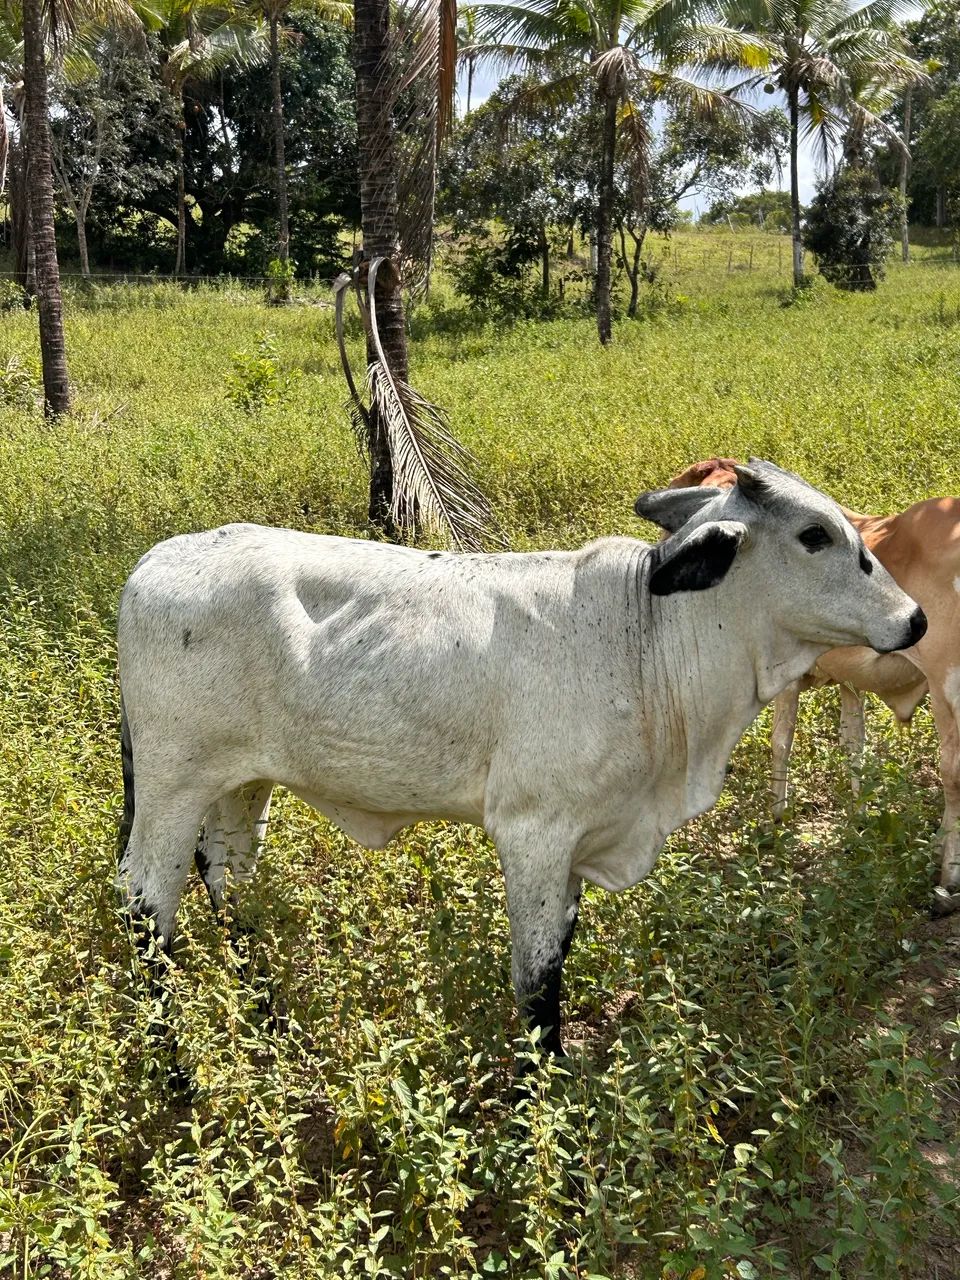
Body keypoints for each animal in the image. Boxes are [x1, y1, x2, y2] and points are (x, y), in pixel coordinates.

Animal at [116, 459, 925, 1054]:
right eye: (815, 536)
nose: (915, 619)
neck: (647, 634)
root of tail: (149, 563)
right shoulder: (535, 831)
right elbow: (537, 984)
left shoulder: (580, 841)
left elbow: (561, 952)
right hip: (171, 783)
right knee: (146, 908)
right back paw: (173, 1065)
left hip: (242, 780)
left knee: (227, 881)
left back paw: (271, 1025)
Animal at [667, 457, 960, 912]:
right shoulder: (850, 683)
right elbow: (854, 745)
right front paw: (858, 816)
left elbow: (780, 740)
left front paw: (776, 819)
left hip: (947, 686)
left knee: (952, 775)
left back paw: (946, 878)